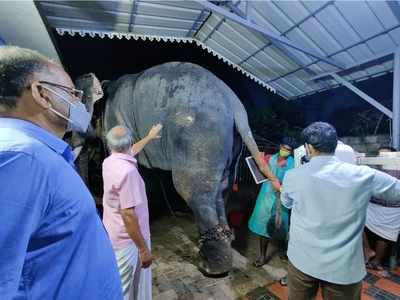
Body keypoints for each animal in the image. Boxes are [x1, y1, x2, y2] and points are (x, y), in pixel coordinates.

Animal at [75, 63, 276, 276]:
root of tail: (237, 106)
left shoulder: (118, 120)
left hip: (200, 138)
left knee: (193, 190)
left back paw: (211, 267)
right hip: (229, 144)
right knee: (220, 190)